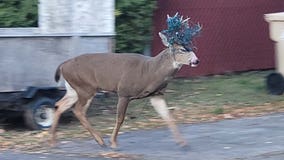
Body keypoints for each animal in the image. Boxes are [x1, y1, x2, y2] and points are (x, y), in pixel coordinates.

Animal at [50, 13, 203, 148]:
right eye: (182, 49)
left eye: (190, 46)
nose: (196, 60)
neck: (150, 72)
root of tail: (63, 65)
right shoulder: (124, 91)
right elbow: (120, 118)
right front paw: (113, 143)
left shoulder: (156, 95)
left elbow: (168, 116)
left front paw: (183, 143)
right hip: (86, 87)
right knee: (78, 110)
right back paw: (100, 141)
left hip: (73, 88)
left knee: (60, 104)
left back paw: (53, 141)